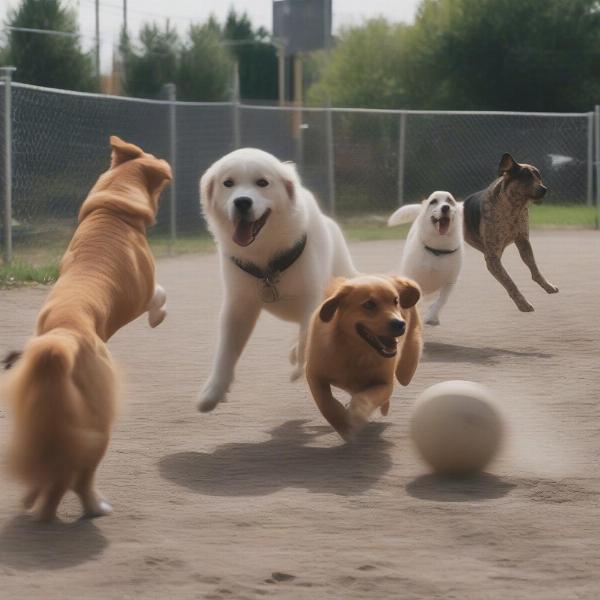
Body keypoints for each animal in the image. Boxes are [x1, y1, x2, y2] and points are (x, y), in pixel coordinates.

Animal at [2, 136, 171, 520]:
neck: (113, 210)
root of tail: (62, 339)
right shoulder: (143, 291)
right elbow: (159, 294)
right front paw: (159, 316)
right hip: (97, 425)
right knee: (78, 479)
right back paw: (95, 507)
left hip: (42, 415)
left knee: (49, 471)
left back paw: (32, 500)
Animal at [197, 149, 356, 412]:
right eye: (228, 183)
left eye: (262, 182)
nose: (242, 201)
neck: (267, 263)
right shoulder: (237, 307)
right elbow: (225, 352)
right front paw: (213, 392)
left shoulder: (311, 303)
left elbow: (305, 341)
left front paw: (299, 368)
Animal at [304, 276, 422, 440]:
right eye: (369, 304)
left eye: (396, 301)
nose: (400, 324)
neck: (356, 351)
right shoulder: (314, 374)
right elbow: (326, 403)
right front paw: (342, 424)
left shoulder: (385, 384)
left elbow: (368, 398)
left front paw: (357, 413)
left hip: (407, 369)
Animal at [390, 191, 464, 324]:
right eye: (433, 201)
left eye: (450, 200)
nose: (445, 207)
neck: (437, 249)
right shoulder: (411, 277)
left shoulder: (450, 282)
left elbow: (441, 301)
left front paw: (431, 316)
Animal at [464, 152, 556, 312]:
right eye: (526, 177)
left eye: (539, 177)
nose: (545, 189)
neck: (513, 209)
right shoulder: (492, 258)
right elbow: (509, 282)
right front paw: (522, 303)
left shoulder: (523, 241)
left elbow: (535, 269)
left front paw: (547, 286)